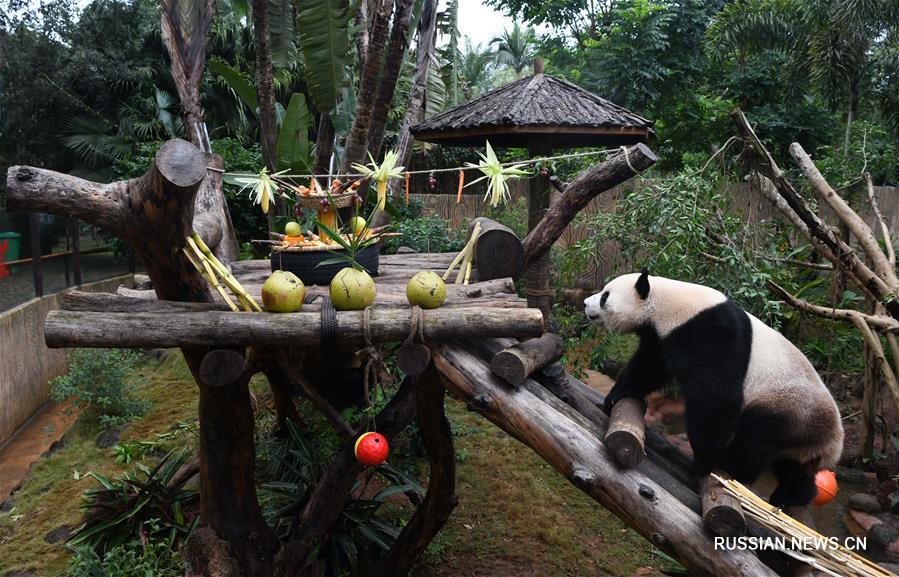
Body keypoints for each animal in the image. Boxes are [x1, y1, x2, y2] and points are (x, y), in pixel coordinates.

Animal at [584, 270, 844, 504]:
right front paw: (614, 397)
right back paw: (792, 495)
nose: (586, 303)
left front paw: (703, 463)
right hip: (802, 435)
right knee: (793, 468)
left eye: (605, 295)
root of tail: (833, 443)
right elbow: (648, 367)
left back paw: (731, 467)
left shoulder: (709, 333)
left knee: (756, 435)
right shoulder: (662, 337)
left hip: (790, 407)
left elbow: (715, 397)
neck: (665, 302)